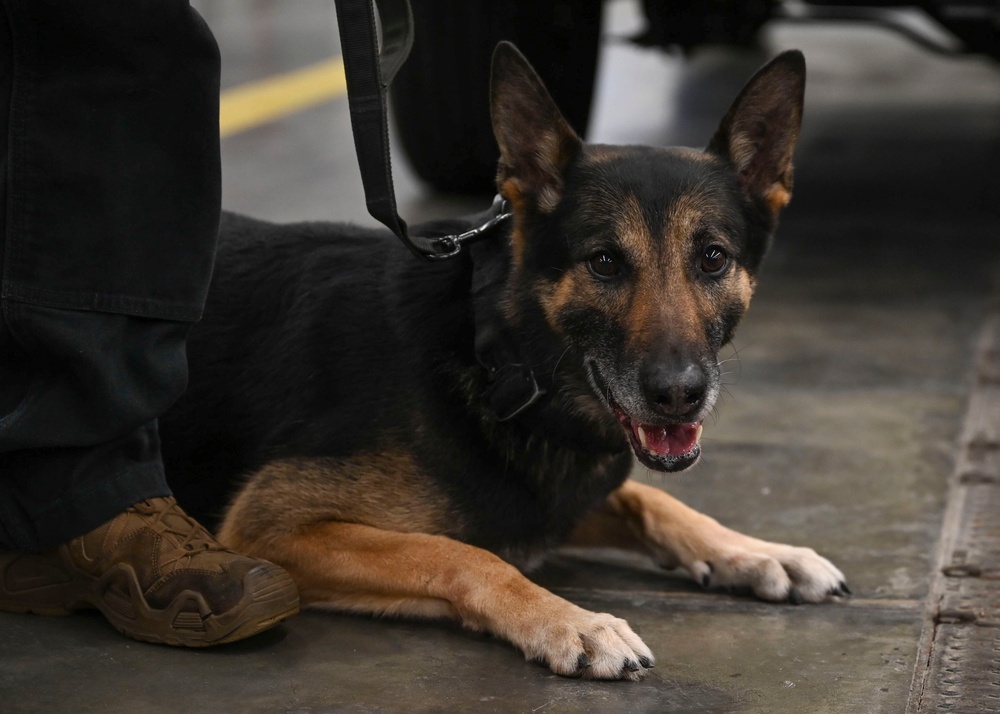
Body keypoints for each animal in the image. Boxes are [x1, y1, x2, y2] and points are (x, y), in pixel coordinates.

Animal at [160, 43, 848, 680]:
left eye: (712, 258)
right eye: (604, 263)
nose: (679, 394)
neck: (502, 361)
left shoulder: (556, 501)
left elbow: (653, 501)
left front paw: (756, 552)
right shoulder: (270, 526)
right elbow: (460, 553)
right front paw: (570, 621)